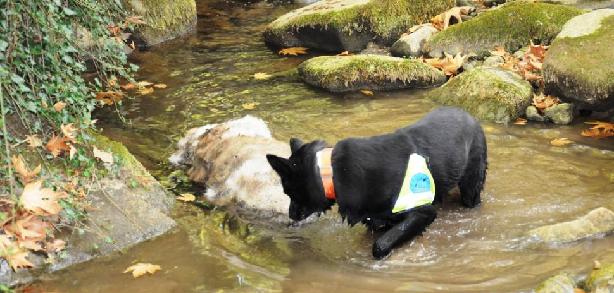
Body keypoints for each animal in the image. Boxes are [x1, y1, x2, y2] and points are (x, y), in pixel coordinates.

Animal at [268, 107, 488, 258]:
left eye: (288, 191)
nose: (291, 215)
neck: (331, 172)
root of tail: (468, 115)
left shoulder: (422, 212)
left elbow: (380, 245)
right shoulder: (375, 220)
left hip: (470, 189)